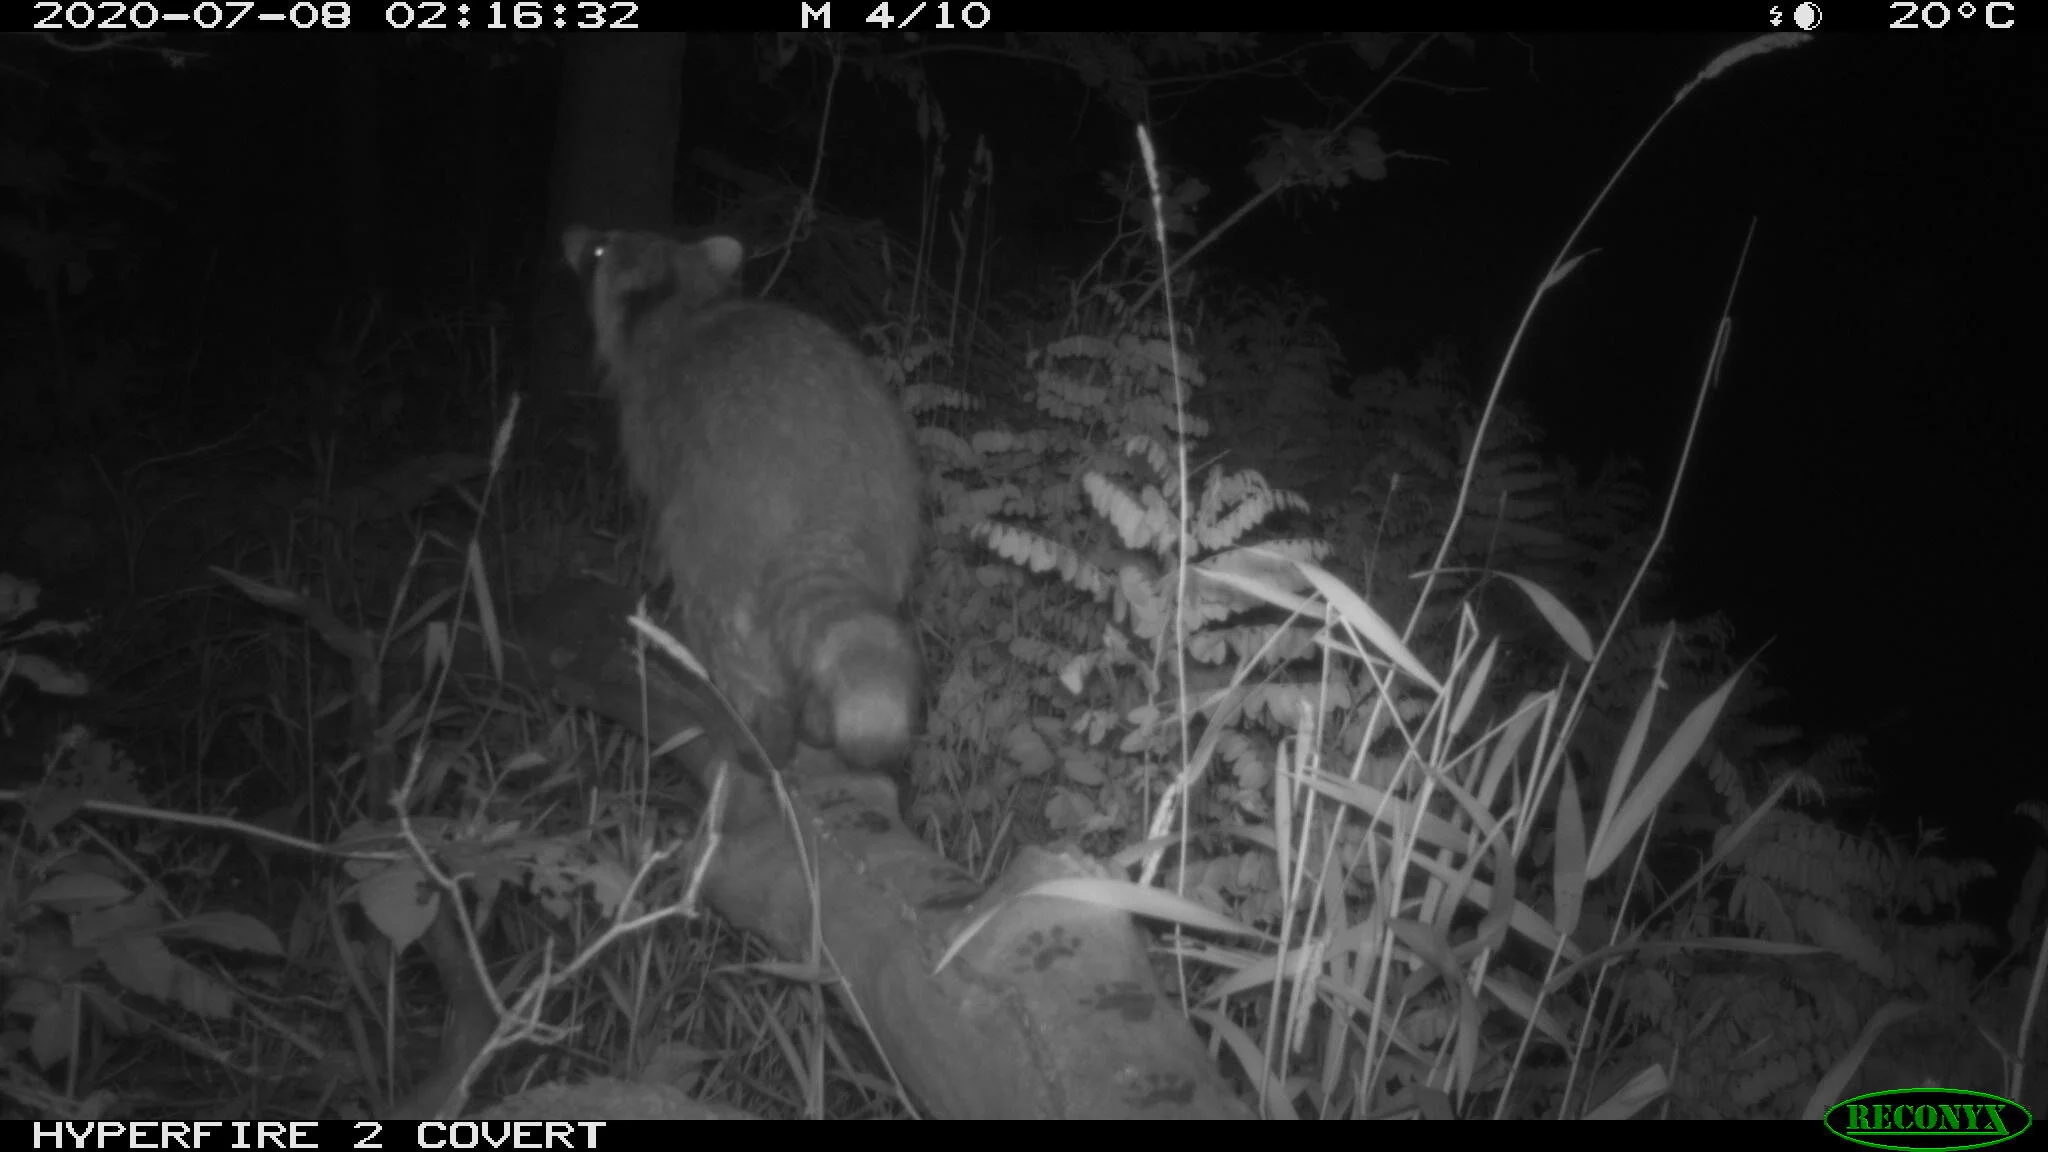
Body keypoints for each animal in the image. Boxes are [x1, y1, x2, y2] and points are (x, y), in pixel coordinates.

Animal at [564, 227, 924, 777]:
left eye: (601, 248)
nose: (570, 234)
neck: (686, 304)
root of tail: (827, 479)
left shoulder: (651, 432)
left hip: (720, 516)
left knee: (726, 626)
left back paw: (760, 727)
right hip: (892, 505)